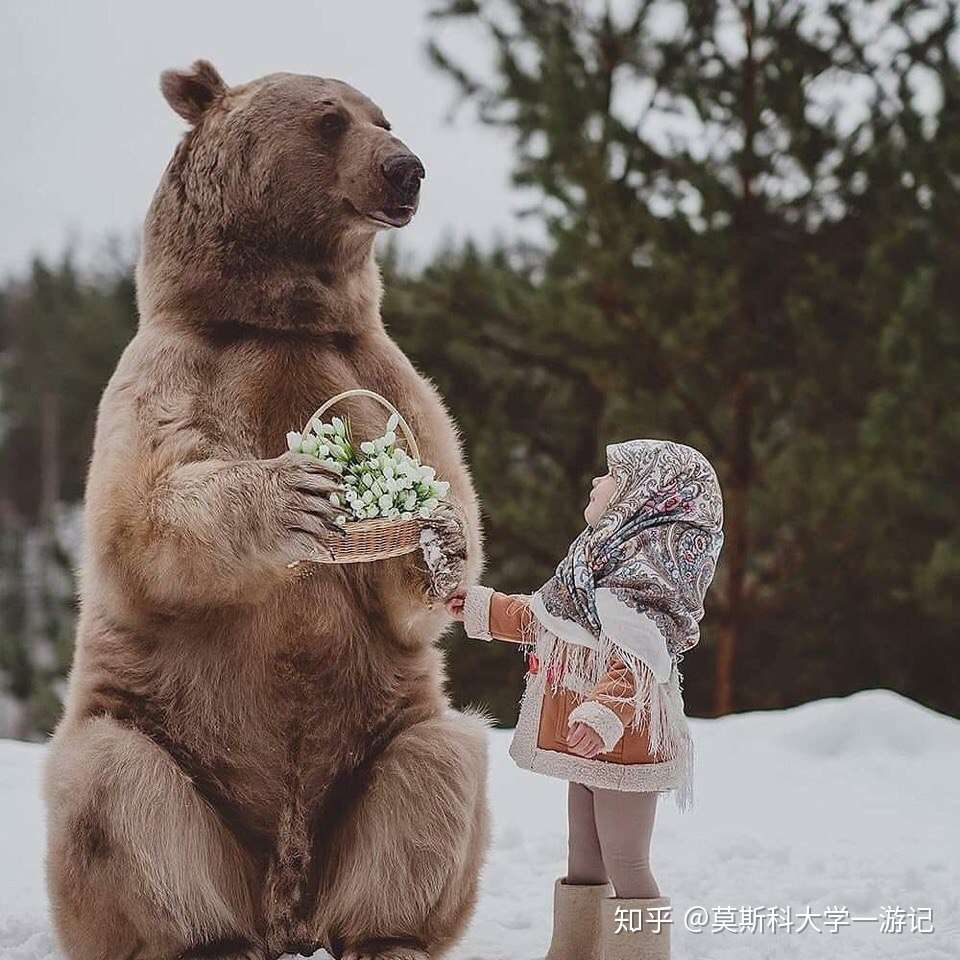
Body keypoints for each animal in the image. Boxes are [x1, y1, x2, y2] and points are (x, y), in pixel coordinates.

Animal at [43, 60, 488, 960]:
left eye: (384, 116)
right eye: (330, 120)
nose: (406, 169)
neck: (278, 319)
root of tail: (288, 902)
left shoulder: (383, 374)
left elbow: (438, 513)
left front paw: (435, 542)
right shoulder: (173, 370)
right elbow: (143, 513)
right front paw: (295, 494)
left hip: (371, 748)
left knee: (439, 766)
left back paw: (384, 935)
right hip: (176, 747)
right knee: (118, 790)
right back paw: (206, 938)